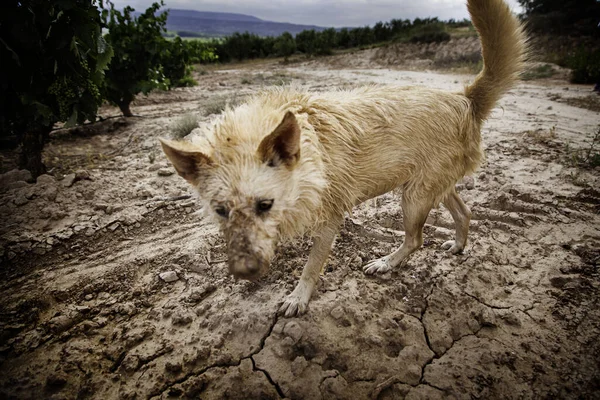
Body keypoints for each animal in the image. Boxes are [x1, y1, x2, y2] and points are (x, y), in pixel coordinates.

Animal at [162, 0, 528, 316]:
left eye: (264, 205)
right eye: (220, 211)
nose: (244, 271)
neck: (307, 153)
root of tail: (464, 99)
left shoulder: (328, 220)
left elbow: (311, 266)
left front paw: (298, 297)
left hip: (413, 198)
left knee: (416, 239)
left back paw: (387, 262)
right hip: (430, 186)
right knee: (464, 213)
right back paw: (458, 245)